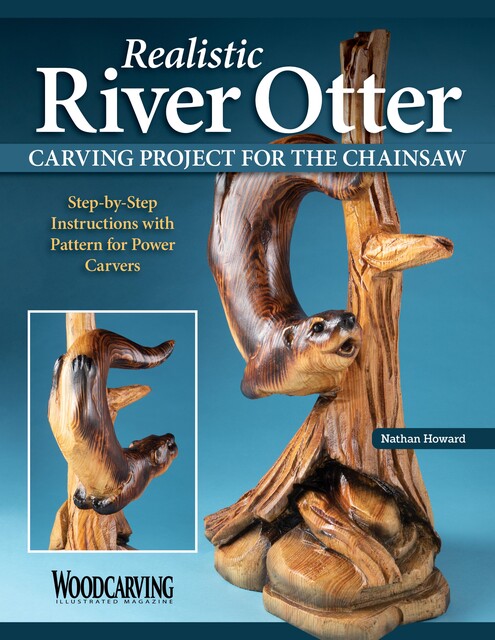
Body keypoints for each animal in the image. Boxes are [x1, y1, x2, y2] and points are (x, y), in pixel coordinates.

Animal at [48, 329, 177, 515]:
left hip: (56, 404)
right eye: (169, 445)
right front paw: (98, 503)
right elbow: (112, 502)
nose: (171, 435)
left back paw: (59, 364)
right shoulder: (132, 484)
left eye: (156, 435)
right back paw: (81, 365)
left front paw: (81, 500)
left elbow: (80, 496)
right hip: (85, 409)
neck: (139, 459)